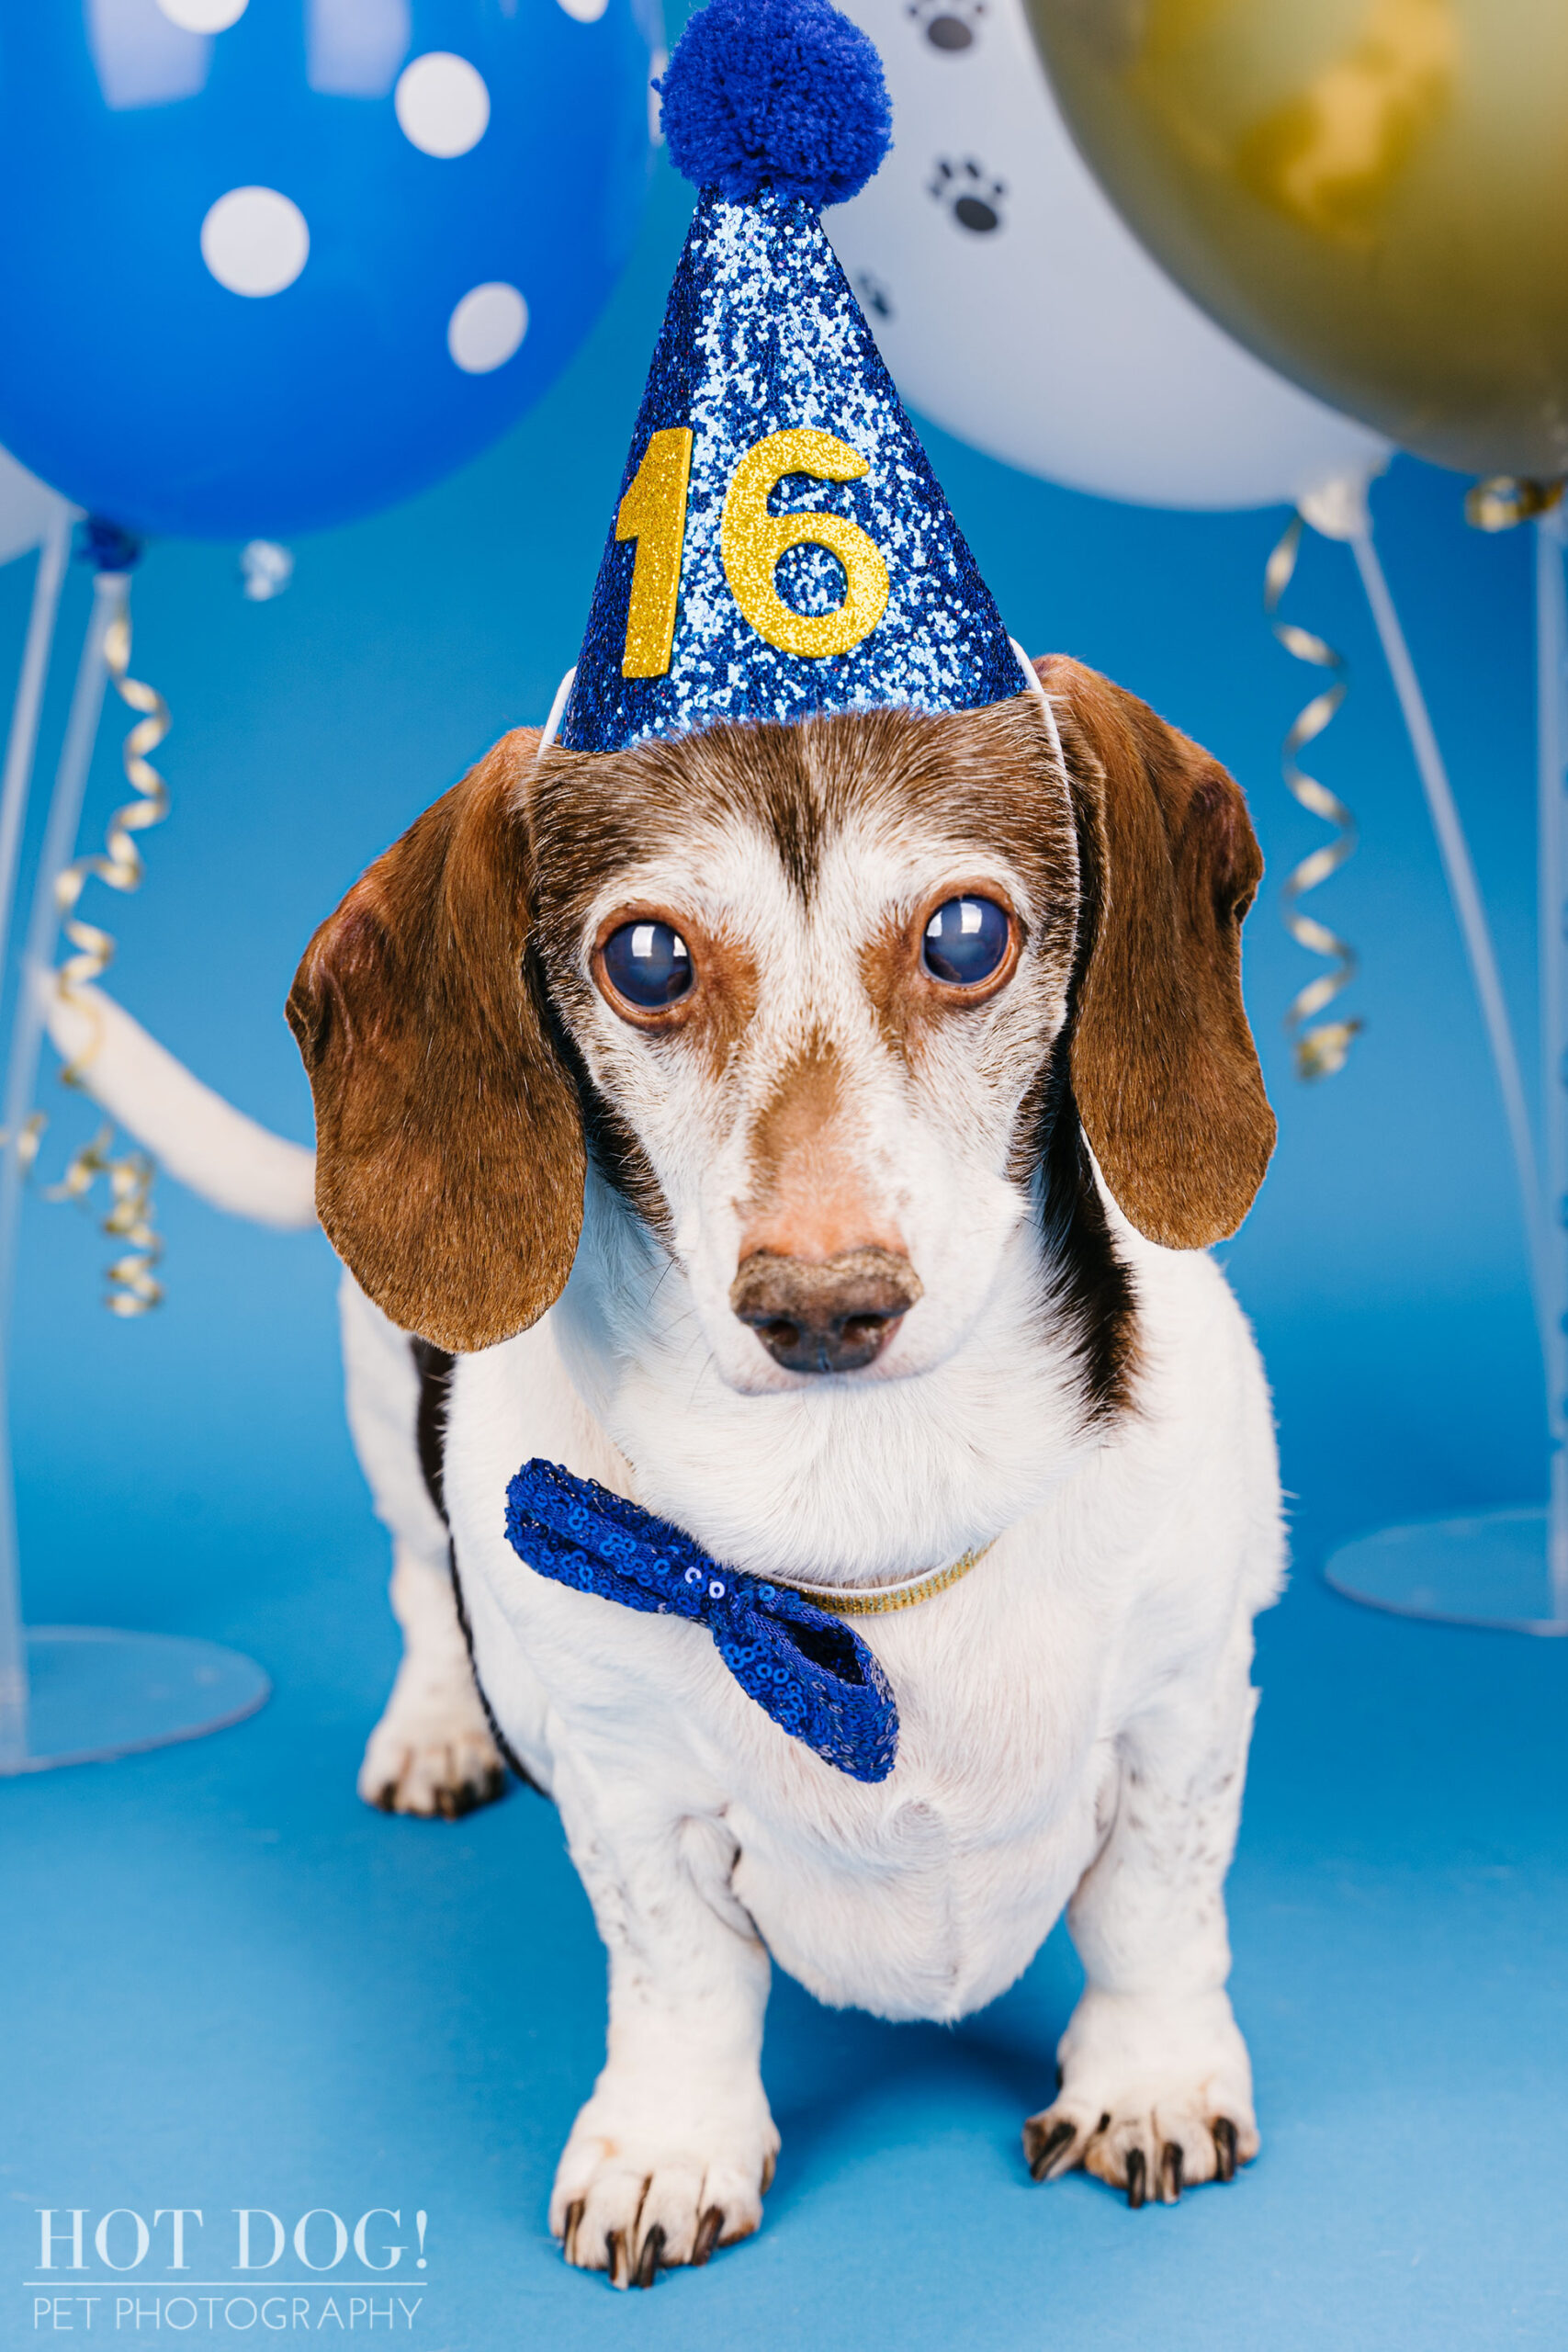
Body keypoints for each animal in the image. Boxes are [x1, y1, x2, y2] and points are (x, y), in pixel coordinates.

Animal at [51, 653, 1288, 2286]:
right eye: (645, 960)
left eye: (965, 935)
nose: (821, 1306)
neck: (865, 1492)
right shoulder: (626, 1788)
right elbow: (680, 1974)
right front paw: (667, 2144)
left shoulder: (1183, 1705)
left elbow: (1153, 1907)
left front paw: (1147, 2078)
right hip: (385, 1398)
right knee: (414, 1572)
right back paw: (434, 1728)